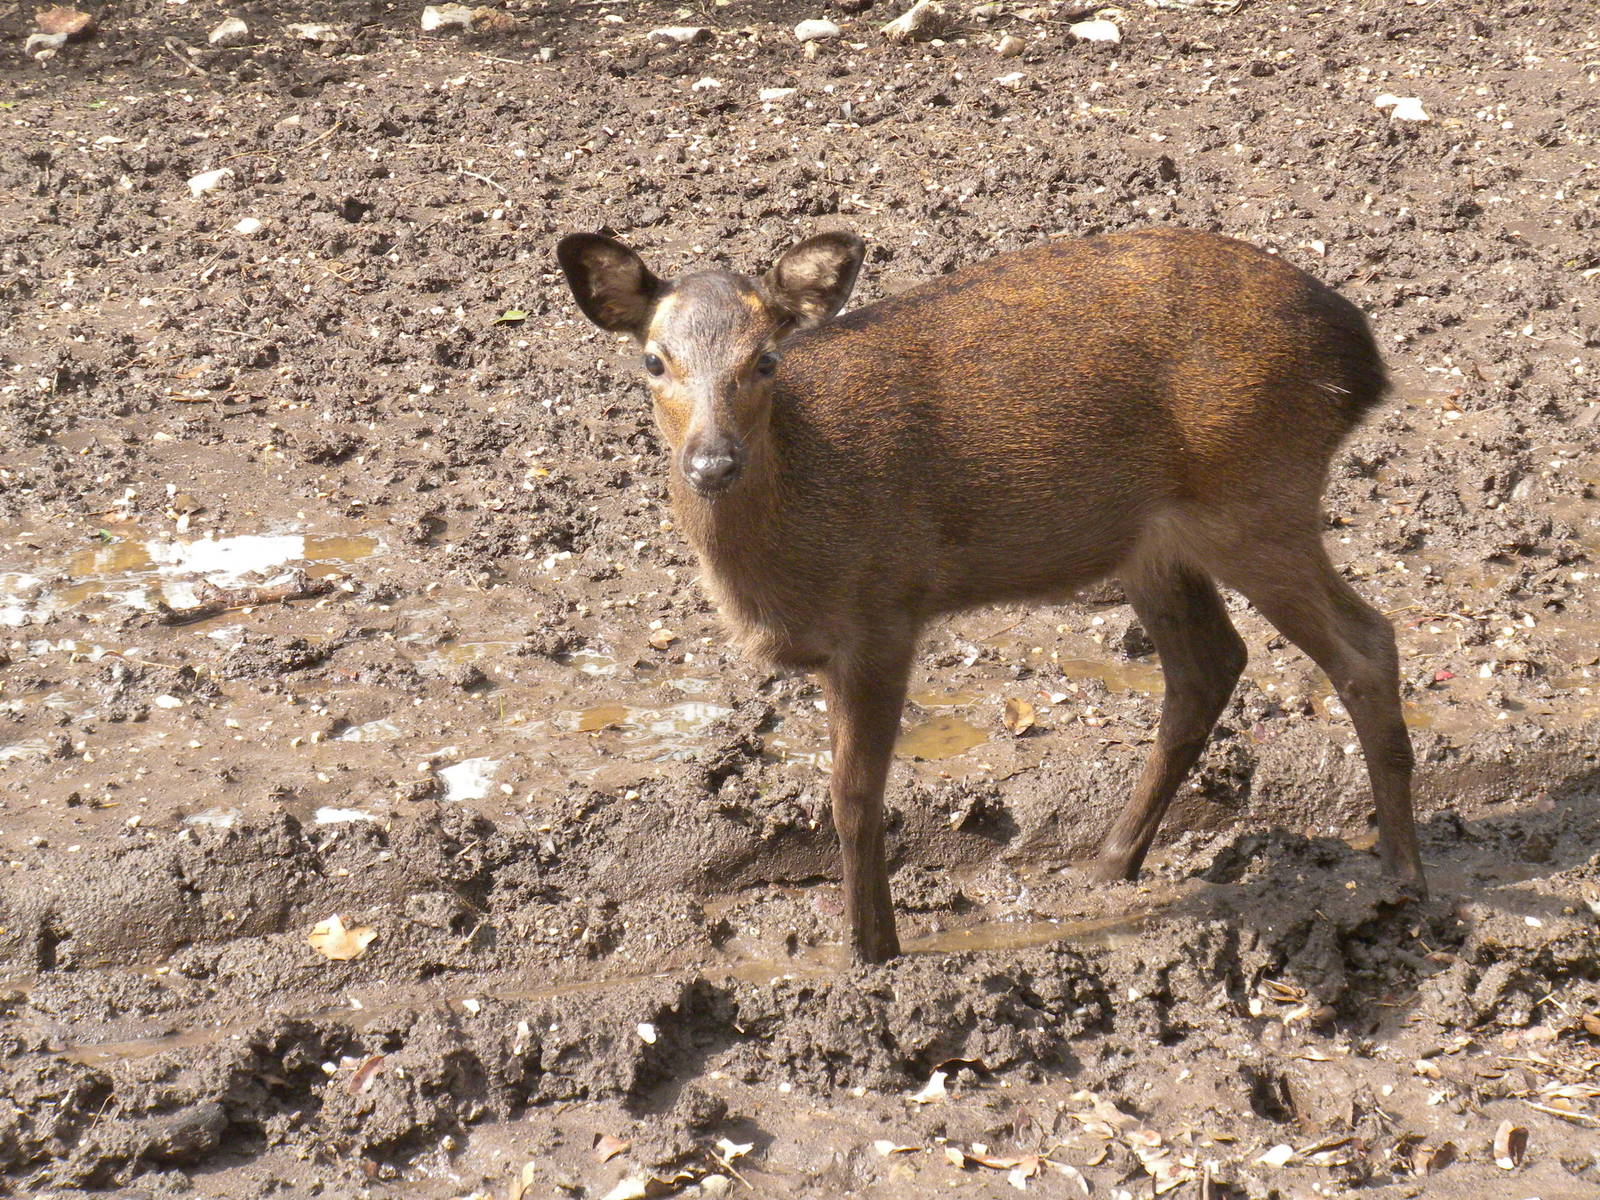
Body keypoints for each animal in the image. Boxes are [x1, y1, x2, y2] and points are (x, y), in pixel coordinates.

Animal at [556, 226, 1426, 964]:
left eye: (766, 359)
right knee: (1210, 665)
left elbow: (854, 793)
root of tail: (1362, 360)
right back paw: (1110, 863)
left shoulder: (884, 610)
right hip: (1157, 540)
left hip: (1257, 494)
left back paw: (1402, 875)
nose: (712, 462)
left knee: (1365, 644)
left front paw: (872, 953)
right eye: (654, 361)